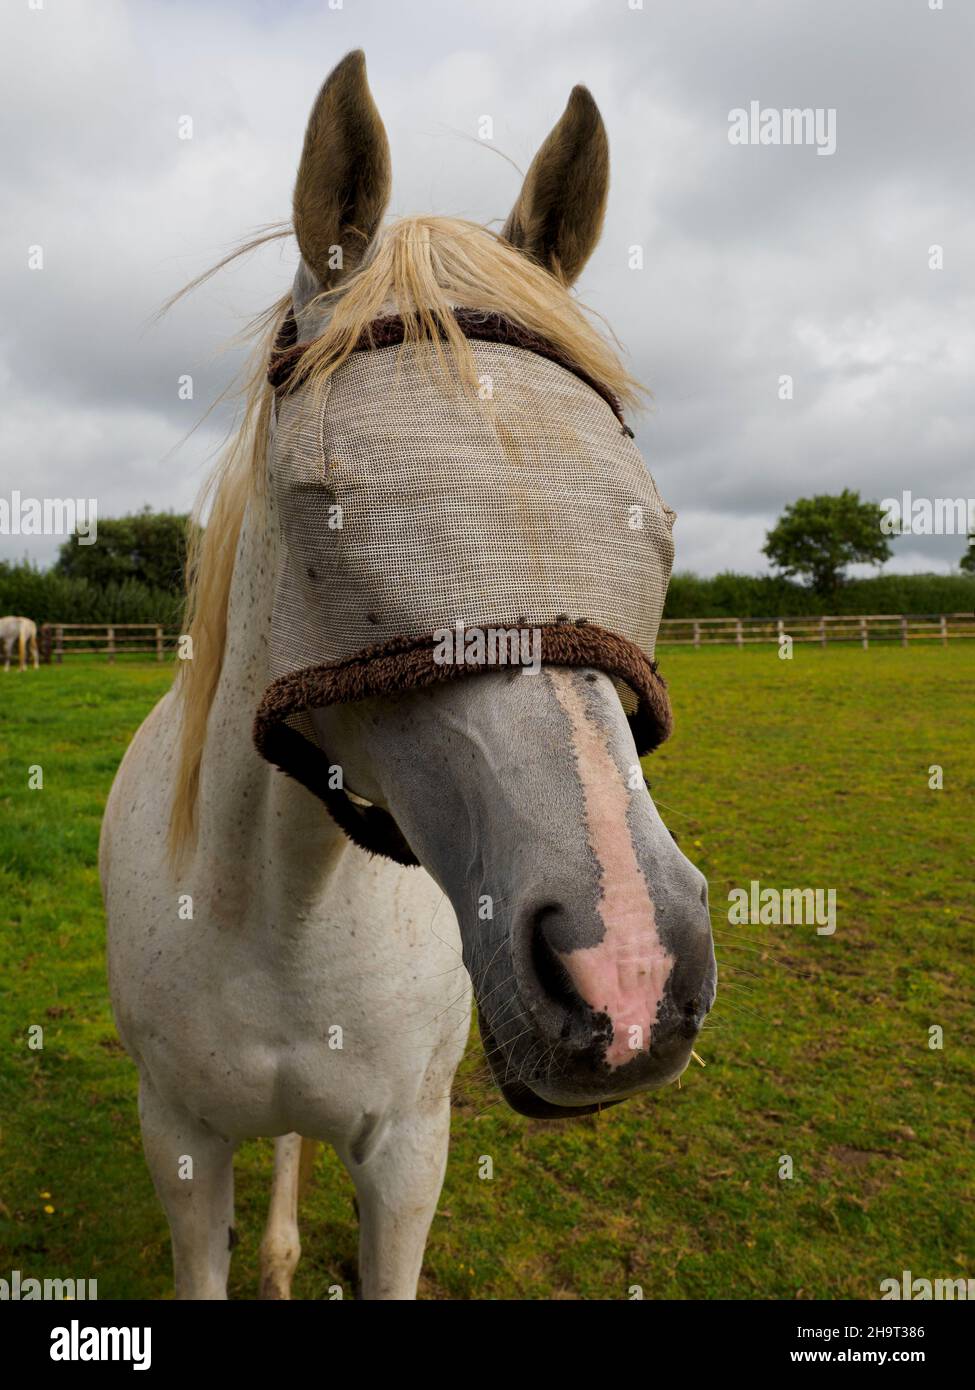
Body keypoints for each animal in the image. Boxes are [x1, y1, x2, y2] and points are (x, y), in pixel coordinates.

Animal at [100, 46, 717, 1301]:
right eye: (322, 500)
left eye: (655, 519)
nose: (627, 970)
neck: (284, 913)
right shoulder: (178, 1141)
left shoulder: (407, 1154)